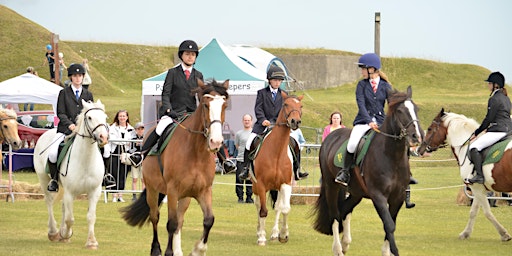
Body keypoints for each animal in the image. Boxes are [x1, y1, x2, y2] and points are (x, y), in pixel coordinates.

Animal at [33, 99, 109, 248]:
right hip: (44, 179)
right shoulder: (70, 192)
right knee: (49, 202)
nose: (103, 137)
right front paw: (66, 234)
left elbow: (91, 217)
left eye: (105, 117)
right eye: (89, 117)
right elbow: (70, 219)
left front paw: (91, 242)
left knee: (63, 207)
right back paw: (54, 233)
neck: (86, 160)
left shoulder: (94, 192)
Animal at [120, 80, 228, 256]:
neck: (196, 153)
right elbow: (171, 223)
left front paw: (198, 249)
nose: (216, 142)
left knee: (180, 219)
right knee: (155, 216)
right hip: (153, 190)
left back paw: (178, 250)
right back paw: (156, 249)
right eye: (205, 105)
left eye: (225, 105)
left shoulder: (204, 191)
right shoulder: (172, 191)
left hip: (185, 196)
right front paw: (168, 252)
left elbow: (208, 220)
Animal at [249, 93, 302, 246]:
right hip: (255, 186)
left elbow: (285, 208)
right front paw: (261, 238)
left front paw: (283, 234)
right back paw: (259, 231)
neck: (277, 152)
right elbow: (263, 211)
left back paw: (274, 233)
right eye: (286, 104)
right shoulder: (261, 184)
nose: (295, 121)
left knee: (278, 206)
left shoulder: (286, 184)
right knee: (257, 205)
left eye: (301, 106)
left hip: (277, 187)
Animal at [314, 86, 422, 256]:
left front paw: (386, 251)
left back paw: (345, 243)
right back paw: (338, 248)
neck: (391, 156)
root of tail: (331, 136)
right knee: (335, 215)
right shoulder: (378, 196)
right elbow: (389, 224)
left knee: (344, 210)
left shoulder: (397, 197)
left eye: (415, 109)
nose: (416, 136)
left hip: (356, 192)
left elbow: (391, 223)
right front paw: (394, 251)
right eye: (399, 111)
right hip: (331, 186)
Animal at [416, 108, 512, 242]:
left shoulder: (477, 188)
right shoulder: (478, 189)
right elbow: (473, 212)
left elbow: (487, 212)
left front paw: (504, 234)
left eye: (429, 129)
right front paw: (465, 233)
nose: (420, 150)